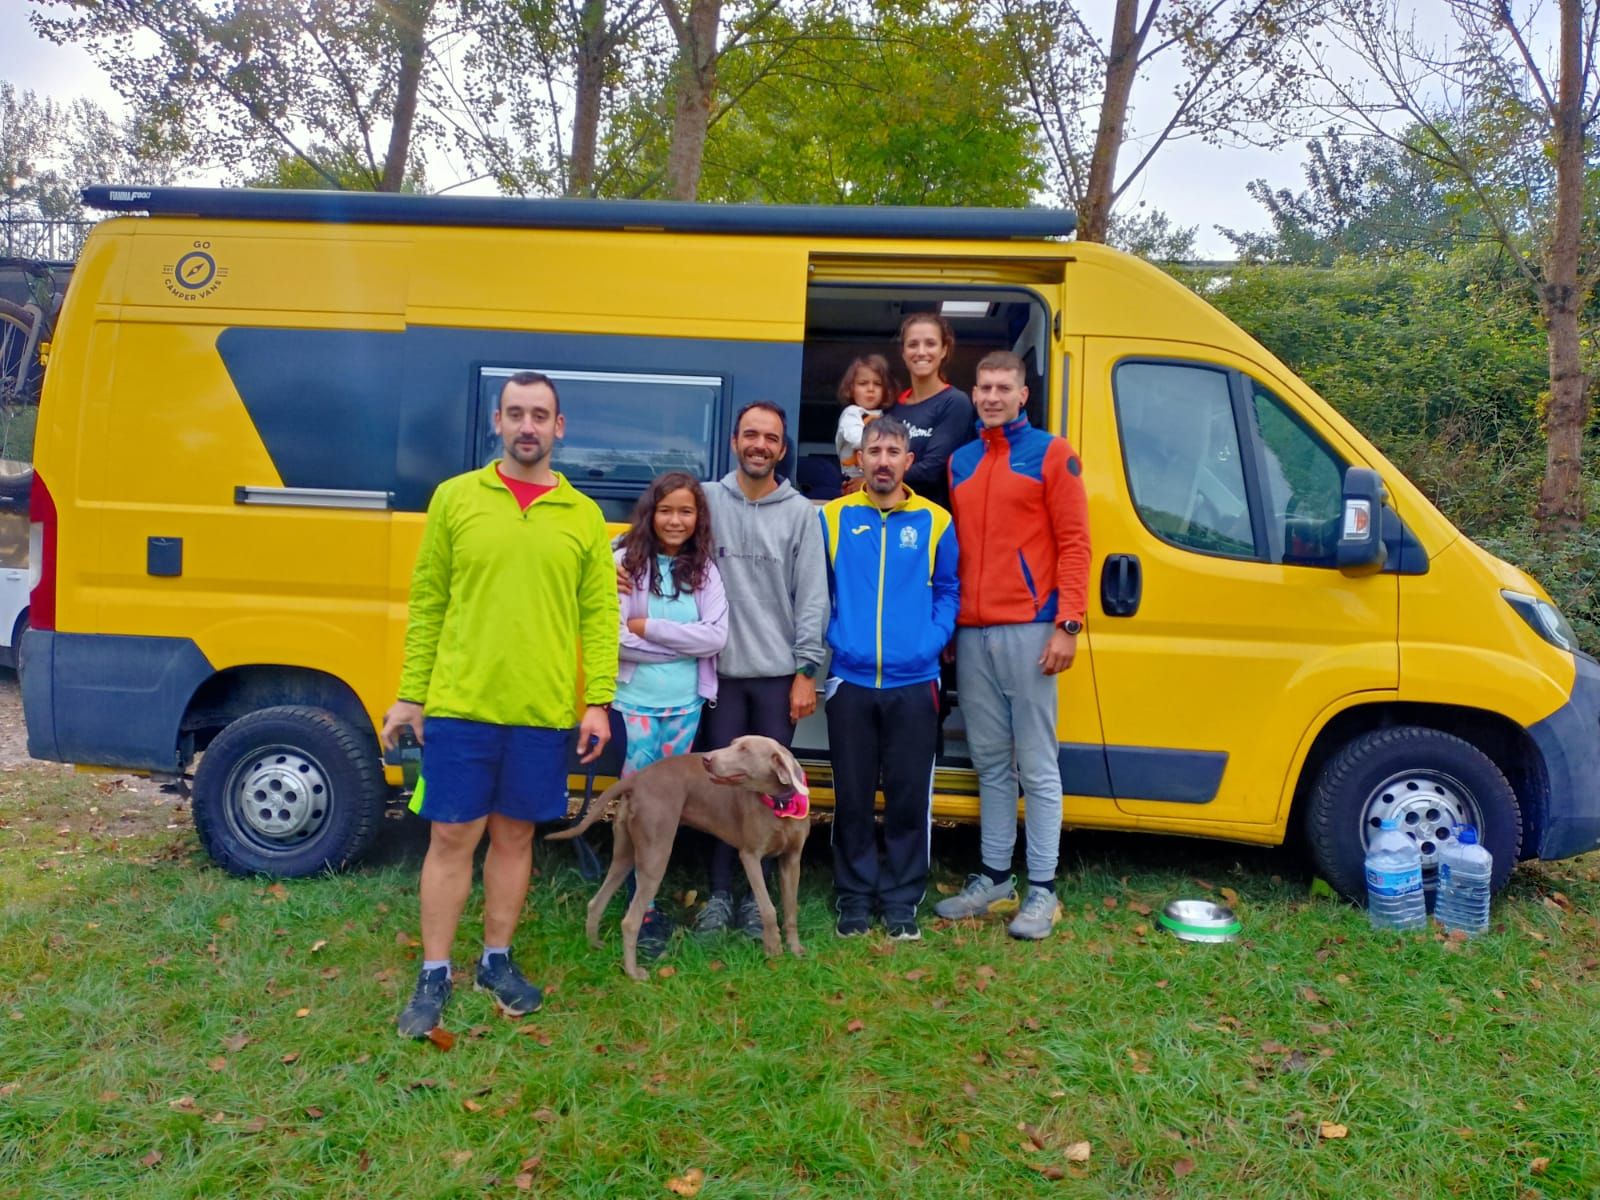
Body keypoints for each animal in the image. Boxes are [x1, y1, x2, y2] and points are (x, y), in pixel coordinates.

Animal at [547, 739, 812, 979]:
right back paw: (634, 973)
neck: (780, 802)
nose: (707, 759)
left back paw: (594, 945)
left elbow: (790, 907)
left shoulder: (792, 860)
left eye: (744, 749)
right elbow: (768, 907)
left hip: (625, 853)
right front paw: (774, 948)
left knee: (596, 901)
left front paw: (795, 949)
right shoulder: (750, 855)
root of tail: (636, 779)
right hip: (656, 854)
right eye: (734, 743)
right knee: (630, 921)